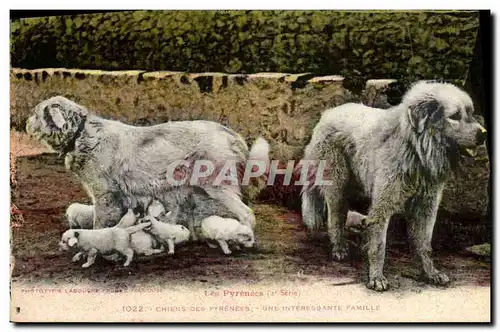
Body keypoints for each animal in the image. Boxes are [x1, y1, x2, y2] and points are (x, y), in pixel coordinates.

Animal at [300, 81, 488, 292]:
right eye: (455, 116)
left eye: (471, 112)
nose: (483, 135)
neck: (415, 148)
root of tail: (328, 113)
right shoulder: (383, 205)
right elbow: (379, 246)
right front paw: (376, 277)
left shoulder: (426, 207)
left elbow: (424, 244)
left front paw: (430, 273)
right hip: (337, 185)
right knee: (335, 218)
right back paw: (339, 248)